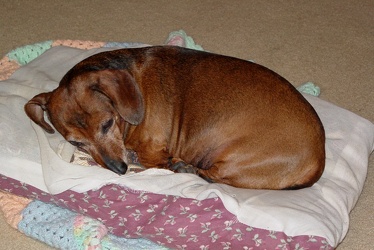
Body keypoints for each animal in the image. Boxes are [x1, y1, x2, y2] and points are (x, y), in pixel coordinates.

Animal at [25, 45, 324, 189]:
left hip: (235, 158)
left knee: (211, 175)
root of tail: (319, 158)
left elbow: (153, 158)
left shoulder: (153, 149)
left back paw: (185, 168)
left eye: (107, 124)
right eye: (76, 143)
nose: (118, 169)